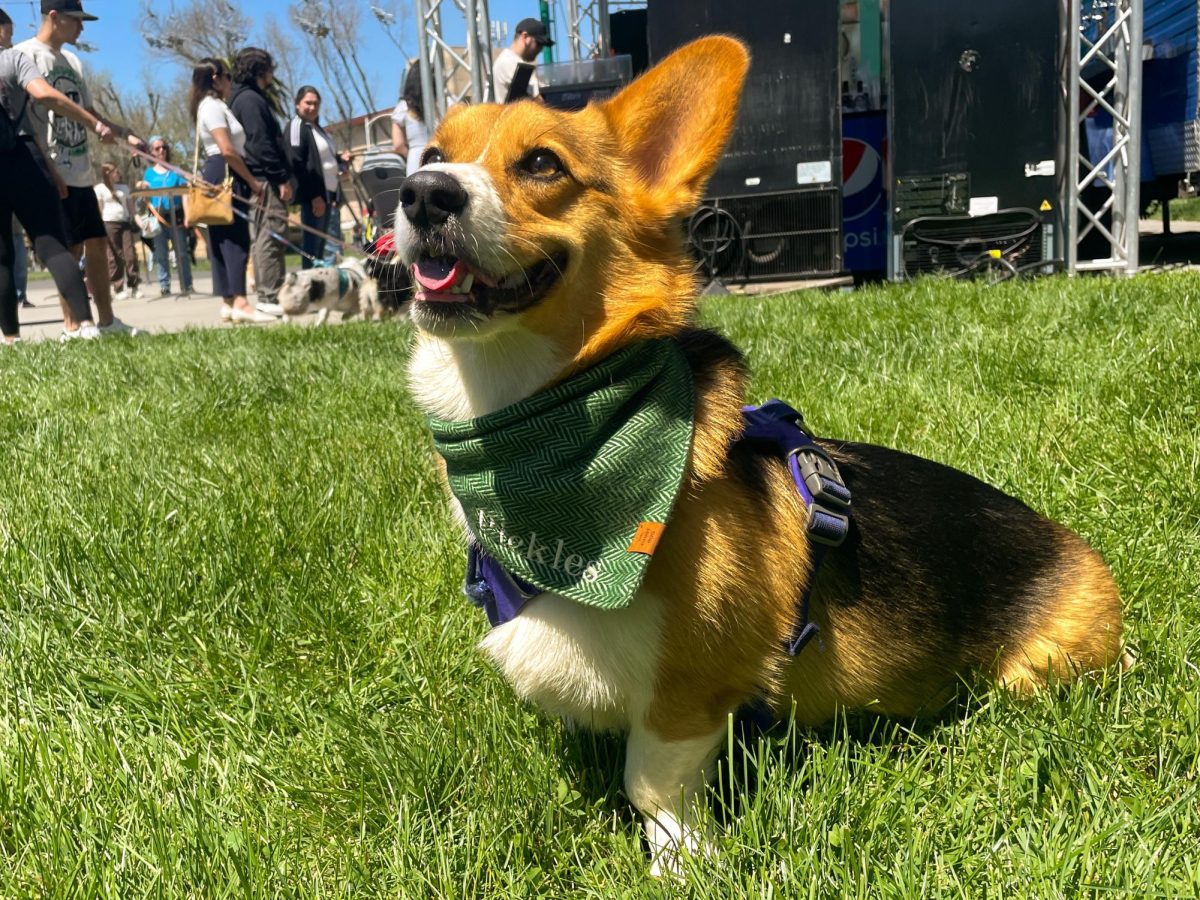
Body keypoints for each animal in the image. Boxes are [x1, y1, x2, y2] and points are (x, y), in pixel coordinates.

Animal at [393, 38, 1123, 878]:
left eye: (542, 162)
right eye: (433, 154)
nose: (421, 195)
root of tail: (1076, 547)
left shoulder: (691, 687)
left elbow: (651, 783)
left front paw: (680, 867)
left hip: (1038, 671)